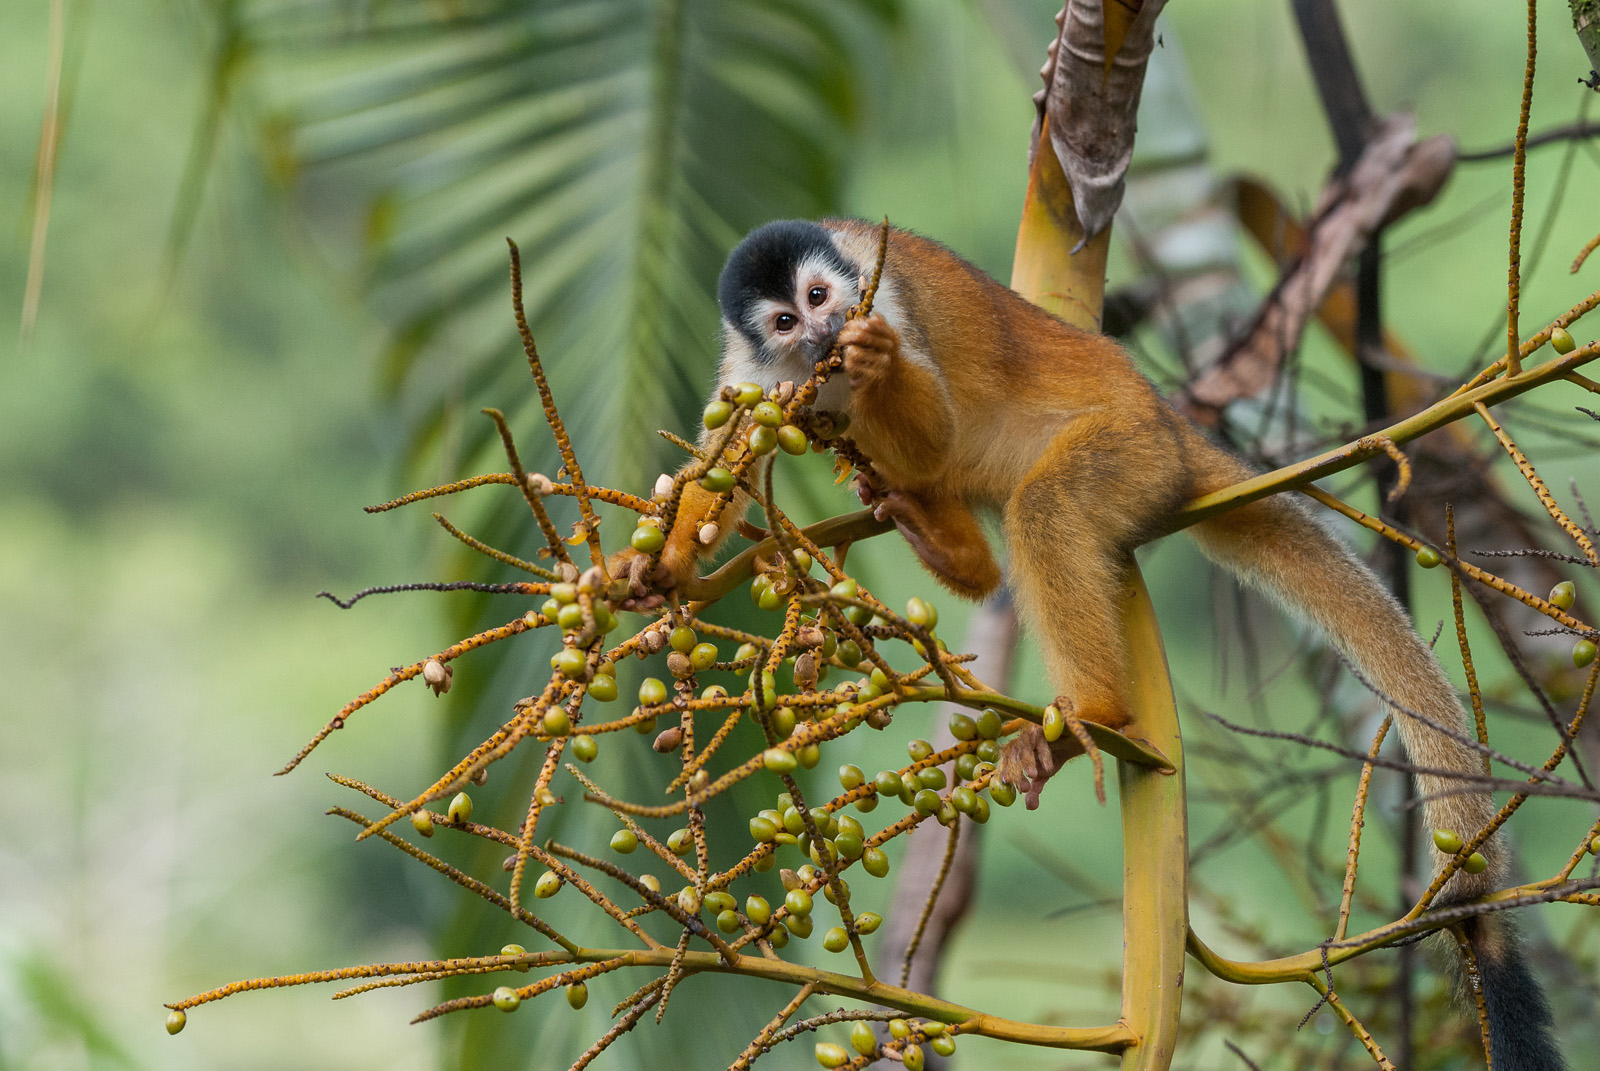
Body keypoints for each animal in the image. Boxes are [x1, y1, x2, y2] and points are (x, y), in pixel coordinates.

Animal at [620, 217, 1561, 1069]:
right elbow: (729, 460)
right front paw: (662, 566)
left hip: (1129, 451)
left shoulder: (881, 298)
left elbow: (927, 413)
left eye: (821, 298)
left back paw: (1090, 708)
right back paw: (954, 551)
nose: (822, 334)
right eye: (785, 320)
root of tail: (1174, 427)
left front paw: (876, 362)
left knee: (1044, 504)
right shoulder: (752, 376)